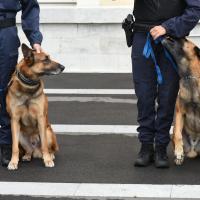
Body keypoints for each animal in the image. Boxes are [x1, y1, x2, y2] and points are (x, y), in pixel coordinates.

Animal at [162, 37, 200, 166]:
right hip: (174, 133)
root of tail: (194, 148)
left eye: (185, 40)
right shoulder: (180, 113)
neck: (189, 76)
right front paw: (179, 153)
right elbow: (178, 135)